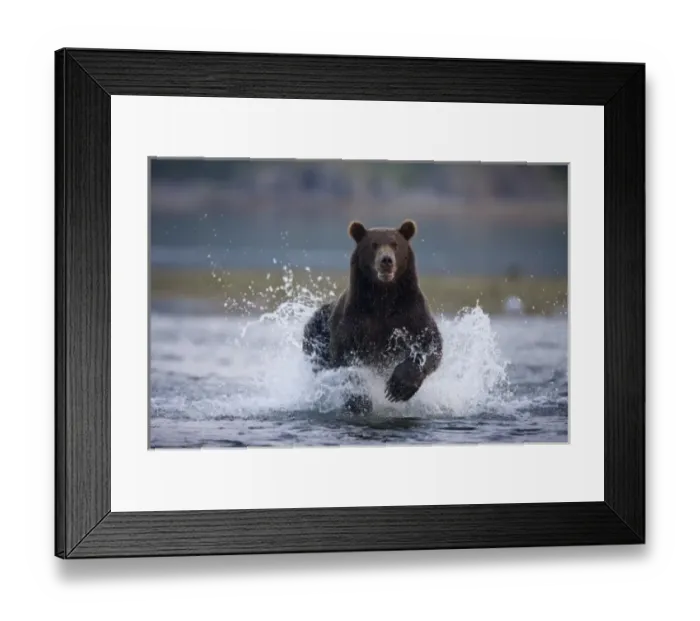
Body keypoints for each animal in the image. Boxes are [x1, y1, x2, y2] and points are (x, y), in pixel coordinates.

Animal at [302, 219, 443, 414]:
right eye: (374, 244)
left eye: (395, 244)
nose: (386, 260)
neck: (383, 296)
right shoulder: (353, 321)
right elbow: (345, 361)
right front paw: (360, 400)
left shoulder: (412, 314)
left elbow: (430, 345)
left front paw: (398, 388)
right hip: (316, 335)